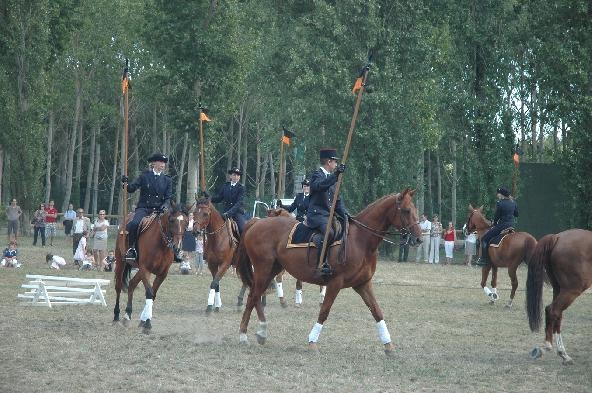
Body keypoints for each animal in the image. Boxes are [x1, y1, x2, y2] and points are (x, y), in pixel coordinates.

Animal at [110, 204, 185, 332]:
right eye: (171, 220)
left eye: (186, 222)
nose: (177, 247)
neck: (161, 244)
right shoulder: (146, 269)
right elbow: (149, 293)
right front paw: (148, 324)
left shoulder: (162, 274)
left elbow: (153, 294)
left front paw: (144, 321)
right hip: (121, 262)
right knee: (118, 287)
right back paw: (116, 316)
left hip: (139, 269)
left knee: (132, 284)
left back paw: (127, 316)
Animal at [235, 188, 420, 354]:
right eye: (406, 210)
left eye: (415, 210)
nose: (418, 238)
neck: (361, 240)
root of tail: (256, 222)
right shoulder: (335, 282)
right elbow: (324, 311)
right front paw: (312, 343)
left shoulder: (363, 284)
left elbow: (377, 312)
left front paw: (389, 346)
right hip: (263, 268)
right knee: (253, 296)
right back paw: (244, 335)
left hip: (273, 269)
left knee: (255, 295)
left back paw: (261, 332)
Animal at [528, 228, 592, 362]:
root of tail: (557, 237)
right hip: (571, 290)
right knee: (553, 310)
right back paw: (557, 349)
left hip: (558, 288)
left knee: (556, 313)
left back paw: (562, 353)